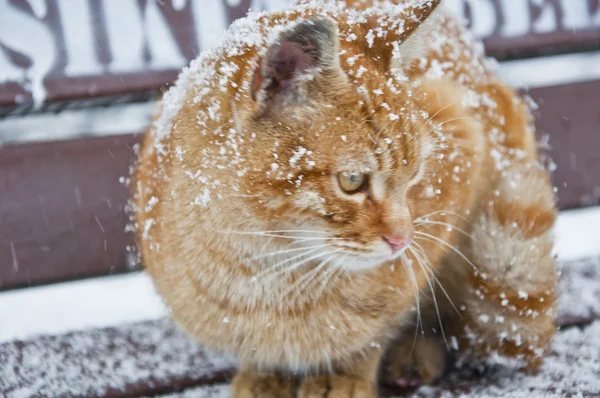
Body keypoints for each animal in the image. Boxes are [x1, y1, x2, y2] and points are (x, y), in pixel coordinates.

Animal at [134, 1, 556, 396]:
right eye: (352, 181)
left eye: (416, 174)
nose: (402, 240)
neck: (260, 269)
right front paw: (264, 373)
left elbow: (378, 327)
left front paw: (344, 374)